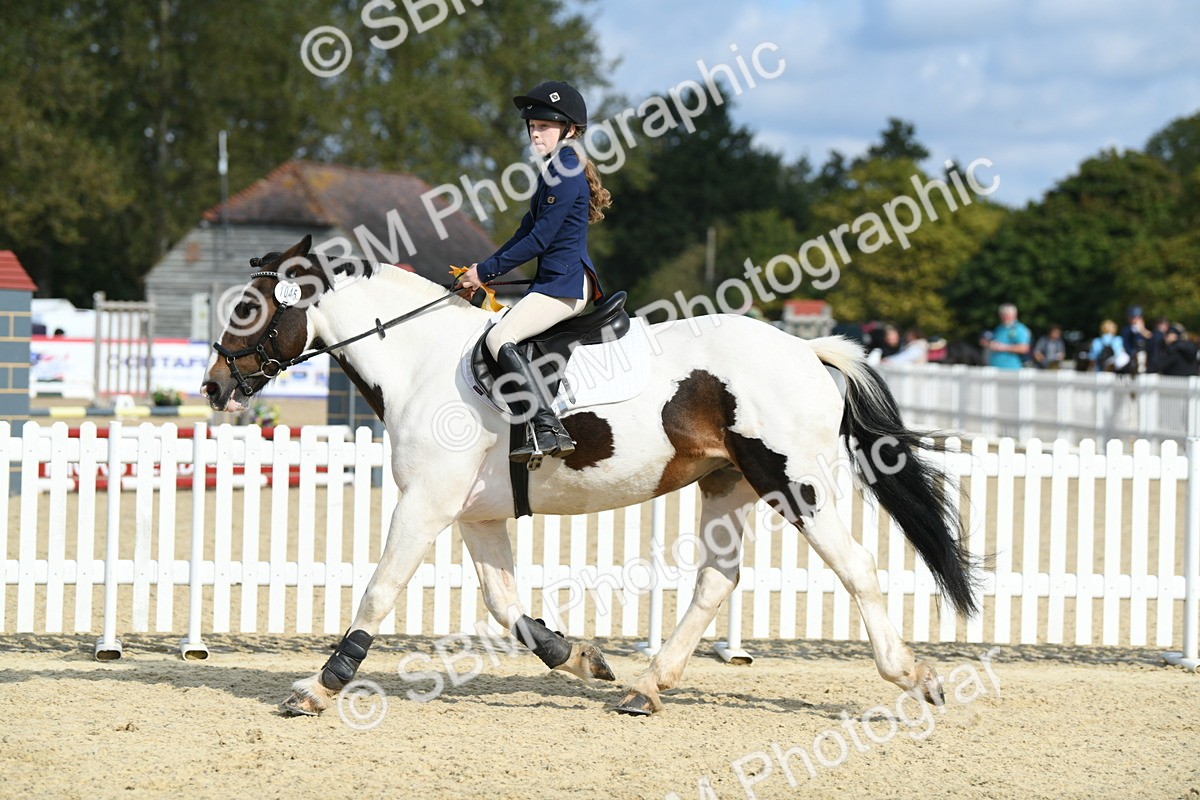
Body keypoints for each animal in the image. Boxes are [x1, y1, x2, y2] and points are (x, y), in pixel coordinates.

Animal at [201, 235, 978, 716]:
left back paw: (912, 675)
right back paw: (646, 688)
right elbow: (506, 608)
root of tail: (806, 351)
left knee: (856, 568)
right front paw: (579, 658)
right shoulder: (476, 513)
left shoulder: (425, 503)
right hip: (726, 483)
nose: (213, 387)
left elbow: (379, 590)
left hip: (795, 481)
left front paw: (319, 686)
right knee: (716, 581)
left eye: (249, 309)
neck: (420, 363)